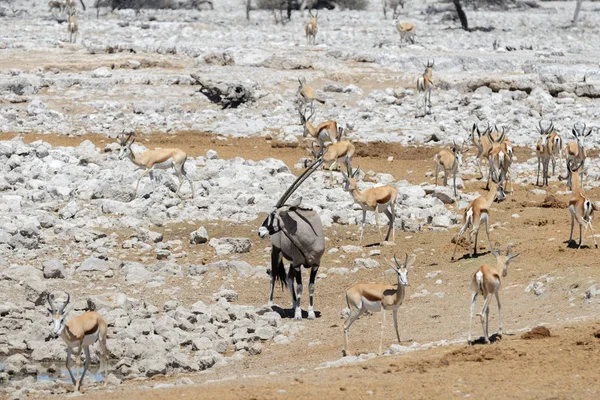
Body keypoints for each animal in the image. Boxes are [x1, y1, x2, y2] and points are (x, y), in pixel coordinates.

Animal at [258, 158, 324, 320]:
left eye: (273, 214)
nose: (260, 232)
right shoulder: (298, 263)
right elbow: (300, 287)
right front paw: (299, 314)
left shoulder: (315, 264)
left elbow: (311, 286)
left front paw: (310, 312)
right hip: (276, 252)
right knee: (273, 275)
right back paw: (270, 305)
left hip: (291, 260)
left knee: (288, 277)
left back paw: (294, 305)